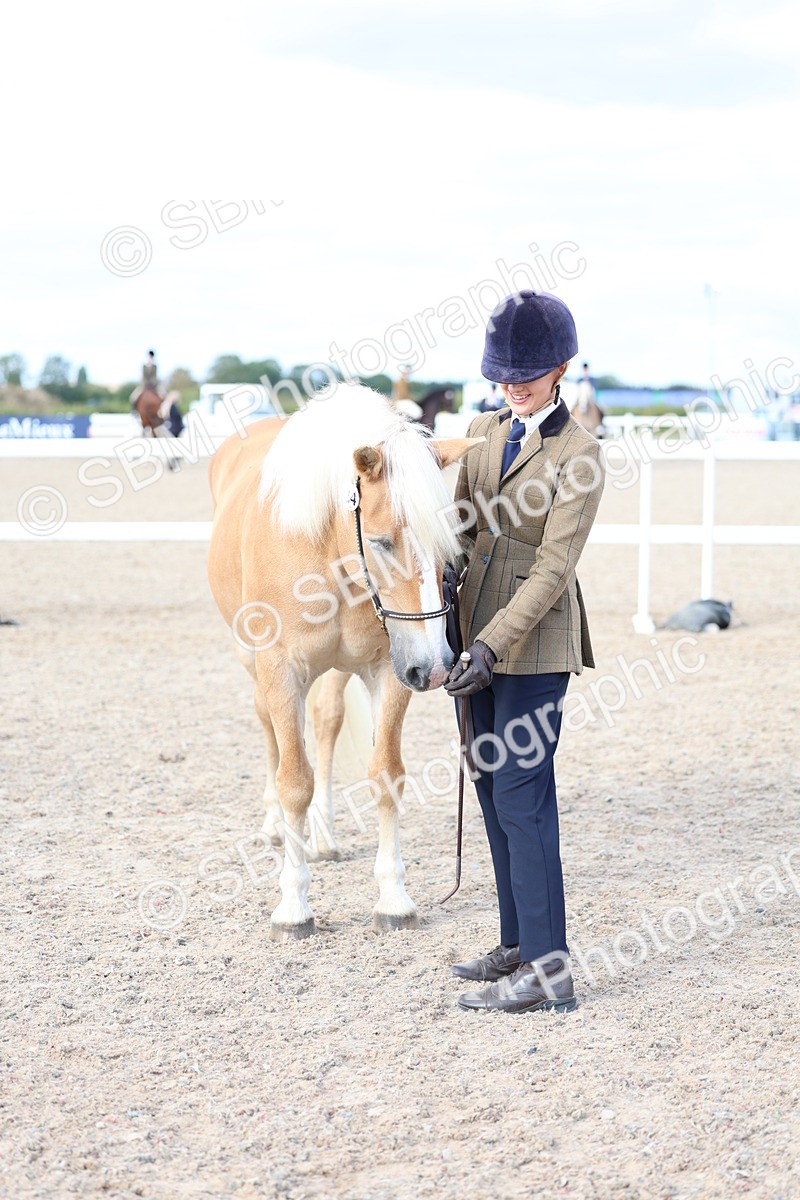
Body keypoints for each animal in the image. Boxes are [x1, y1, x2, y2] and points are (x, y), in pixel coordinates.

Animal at [207, 384, 477, 941]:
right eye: (380, 542)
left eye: (450, 543)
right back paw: (275, 828)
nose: (438, 668)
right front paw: (293, 906)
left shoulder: (390, 670)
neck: (323, 549)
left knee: (327, 721)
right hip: (254, 664)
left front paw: (394, 898)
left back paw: (325, 836)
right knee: (270, 731)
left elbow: (386, 774)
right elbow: (294, 781)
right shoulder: (281, 672)